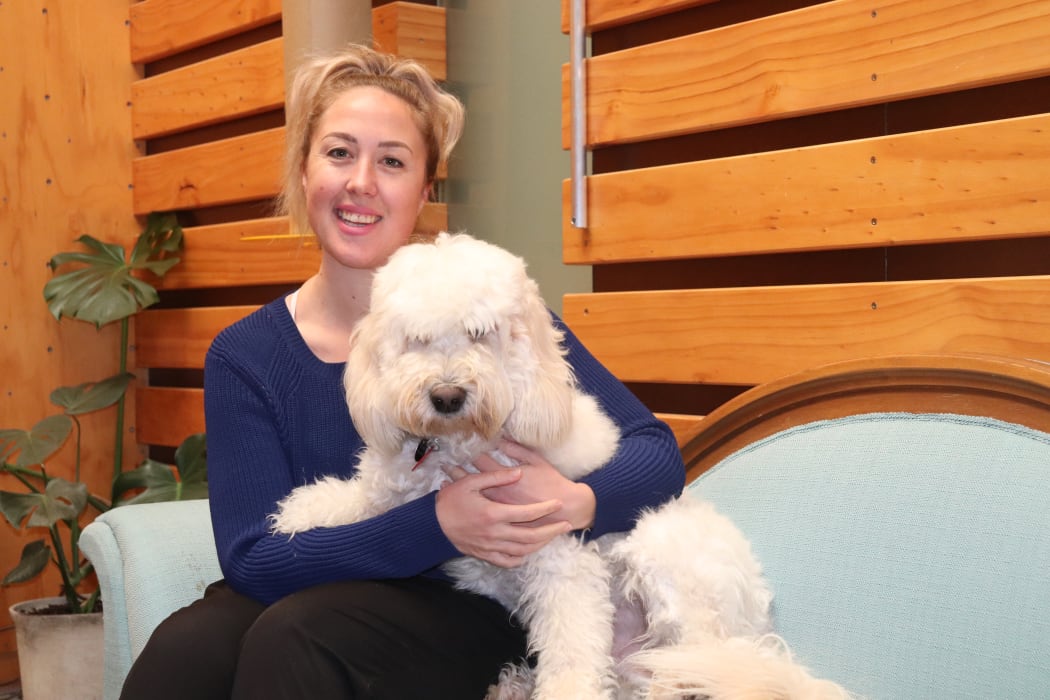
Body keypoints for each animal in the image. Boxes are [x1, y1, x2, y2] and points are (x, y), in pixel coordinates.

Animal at [273, 232, 852, 696]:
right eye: (417, 339)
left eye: (480, 333)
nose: (446, 396)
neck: (463, 445)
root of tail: (759, 636)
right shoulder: (390, 488)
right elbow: (354, 498)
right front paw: (297, 513)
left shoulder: (562, 558)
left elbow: (572, 650)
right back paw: (515, 685)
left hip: (667, 557)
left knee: (693, 659)